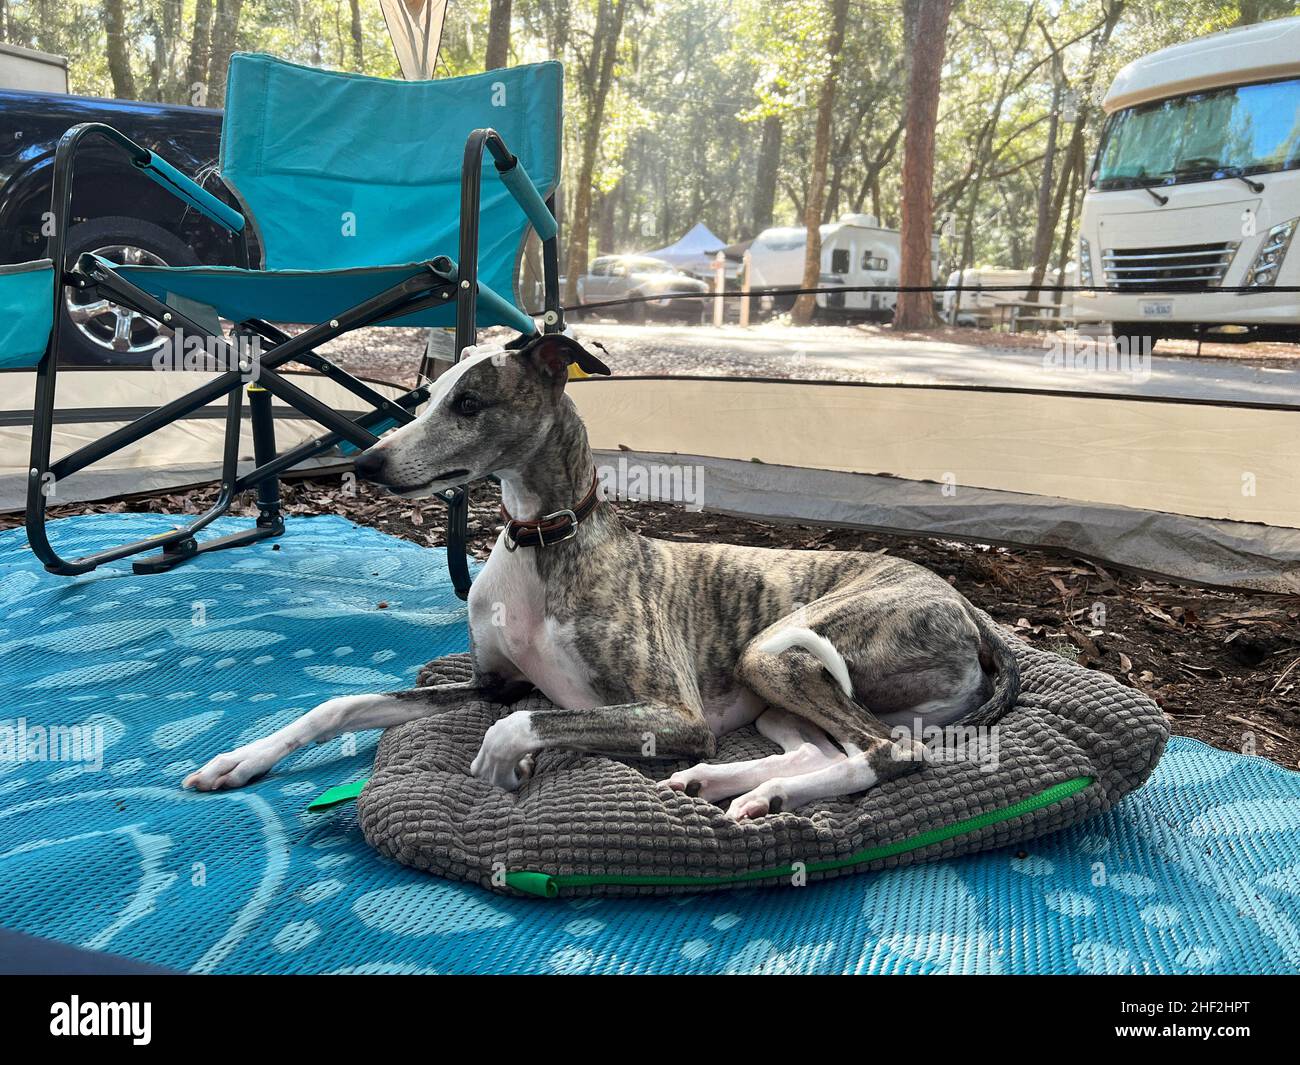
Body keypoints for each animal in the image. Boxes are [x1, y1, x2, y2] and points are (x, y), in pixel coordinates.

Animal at [180, 338, 1013, 821]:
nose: (366, 463)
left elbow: (523, 724)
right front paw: (237, 759)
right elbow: (341, 702)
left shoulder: (674, 712)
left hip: (781, 650)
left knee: (887, 751)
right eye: (424, 397)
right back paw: (735, 786)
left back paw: (751, 787)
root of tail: (976, 614)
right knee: (824, 749)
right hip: (775, 687)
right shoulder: (493, 682)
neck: (541, 542)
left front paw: (501, 764)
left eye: (470, 402)